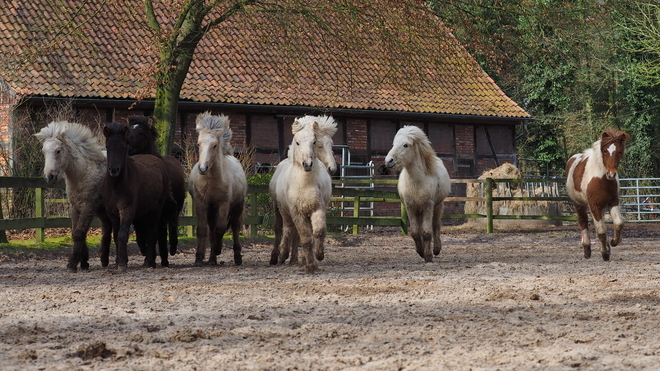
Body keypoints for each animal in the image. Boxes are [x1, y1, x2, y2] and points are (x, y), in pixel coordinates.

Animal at [34, 120, 112, 272]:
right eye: (43, 151)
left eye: (58, 151)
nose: (49, 177)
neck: (83, 174)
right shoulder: (75, 207)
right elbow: (76, 232)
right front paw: (84, 262)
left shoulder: (88, 207)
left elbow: (79, 233)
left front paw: (72, 264)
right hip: (103, 211)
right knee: (108, 228)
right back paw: (104, 259)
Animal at [188, 112, 248, 268]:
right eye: (198, 143)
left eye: (214, 145)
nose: (203, 168)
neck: (211, 183)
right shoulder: (201, 204)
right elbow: (202, 230)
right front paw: (198, 259)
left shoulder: (223, 204)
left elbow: (220, 229)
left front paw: (218, 249)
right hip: (211, 210)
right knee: (211, 230)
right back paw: (211, 260)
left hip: (237, 206)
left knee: (234, 228)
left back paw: (236, 257)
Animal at [266, 115, 338, 266]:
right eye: (298, 142)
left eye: (314, 142)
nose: (332, 168)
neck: (305, 182)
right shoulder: (295, 211)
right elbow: (295, 232)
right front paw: (284, 255)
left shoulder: (317, 208)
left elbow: (316, 232)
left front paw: (316, 256)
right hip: (279, 209)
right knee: (282, 229)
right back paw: (277, 256)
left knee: (295, 232)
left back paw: (295, 259)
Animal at [384, 126, 452, 264]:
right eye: (394, 144)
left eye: (405, 145)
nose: (388, 161)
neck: (417, 183)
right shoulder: (410, 207)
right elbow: (415, 232)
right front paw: (421, 252)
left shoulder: (428, 206)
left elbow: (427, 232)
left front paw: (429, 256)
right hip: (418, 211)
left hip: (437, 206)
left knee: (436, 225)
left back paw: (436, 249)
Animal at [564, 128, 632, 262]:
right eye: (605, 150)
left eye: (620, 151)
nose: (611, 174)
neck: (601, 179)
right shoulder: (594, 205)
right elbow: (601, 231)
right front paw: (605, 253)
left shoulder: (613, 202)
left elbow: (618, 224)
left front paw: (613, 242)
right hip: (579, 204)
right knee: (583, 222)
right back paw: (587, 250)